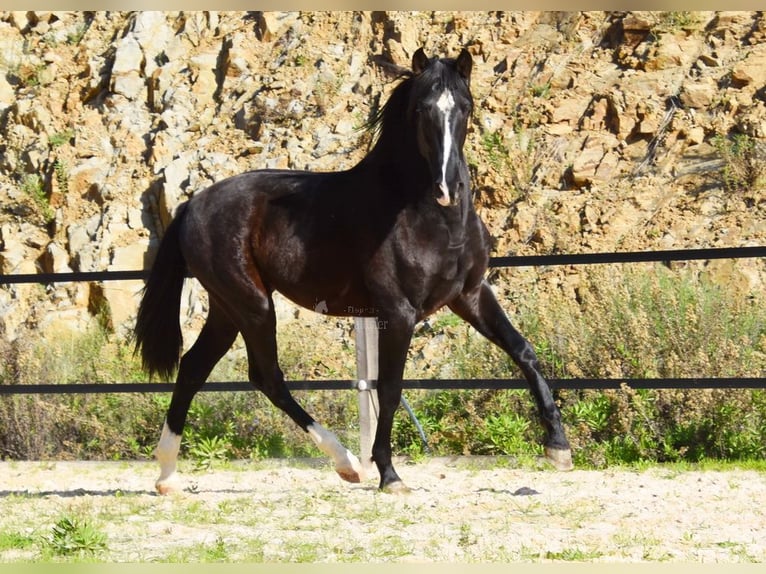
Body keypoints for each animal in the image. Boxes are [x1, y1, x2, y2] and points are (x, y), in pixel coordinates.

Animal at [135, 48, 572, 496]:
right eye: (421, 109)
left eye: (465, 107)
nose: (447, 188)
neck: (428, 218)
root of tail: (193, 204)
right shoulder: (398, 312)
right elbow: (391, 388)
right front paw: (389, 475)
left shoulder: (470, 296)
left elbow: (523, 351)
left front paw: (558, 448)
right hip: (252, 305)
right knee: (266, 376)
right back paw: (346, 463)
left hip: (227, 308)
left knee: (194, 368)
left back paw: (167, 477)